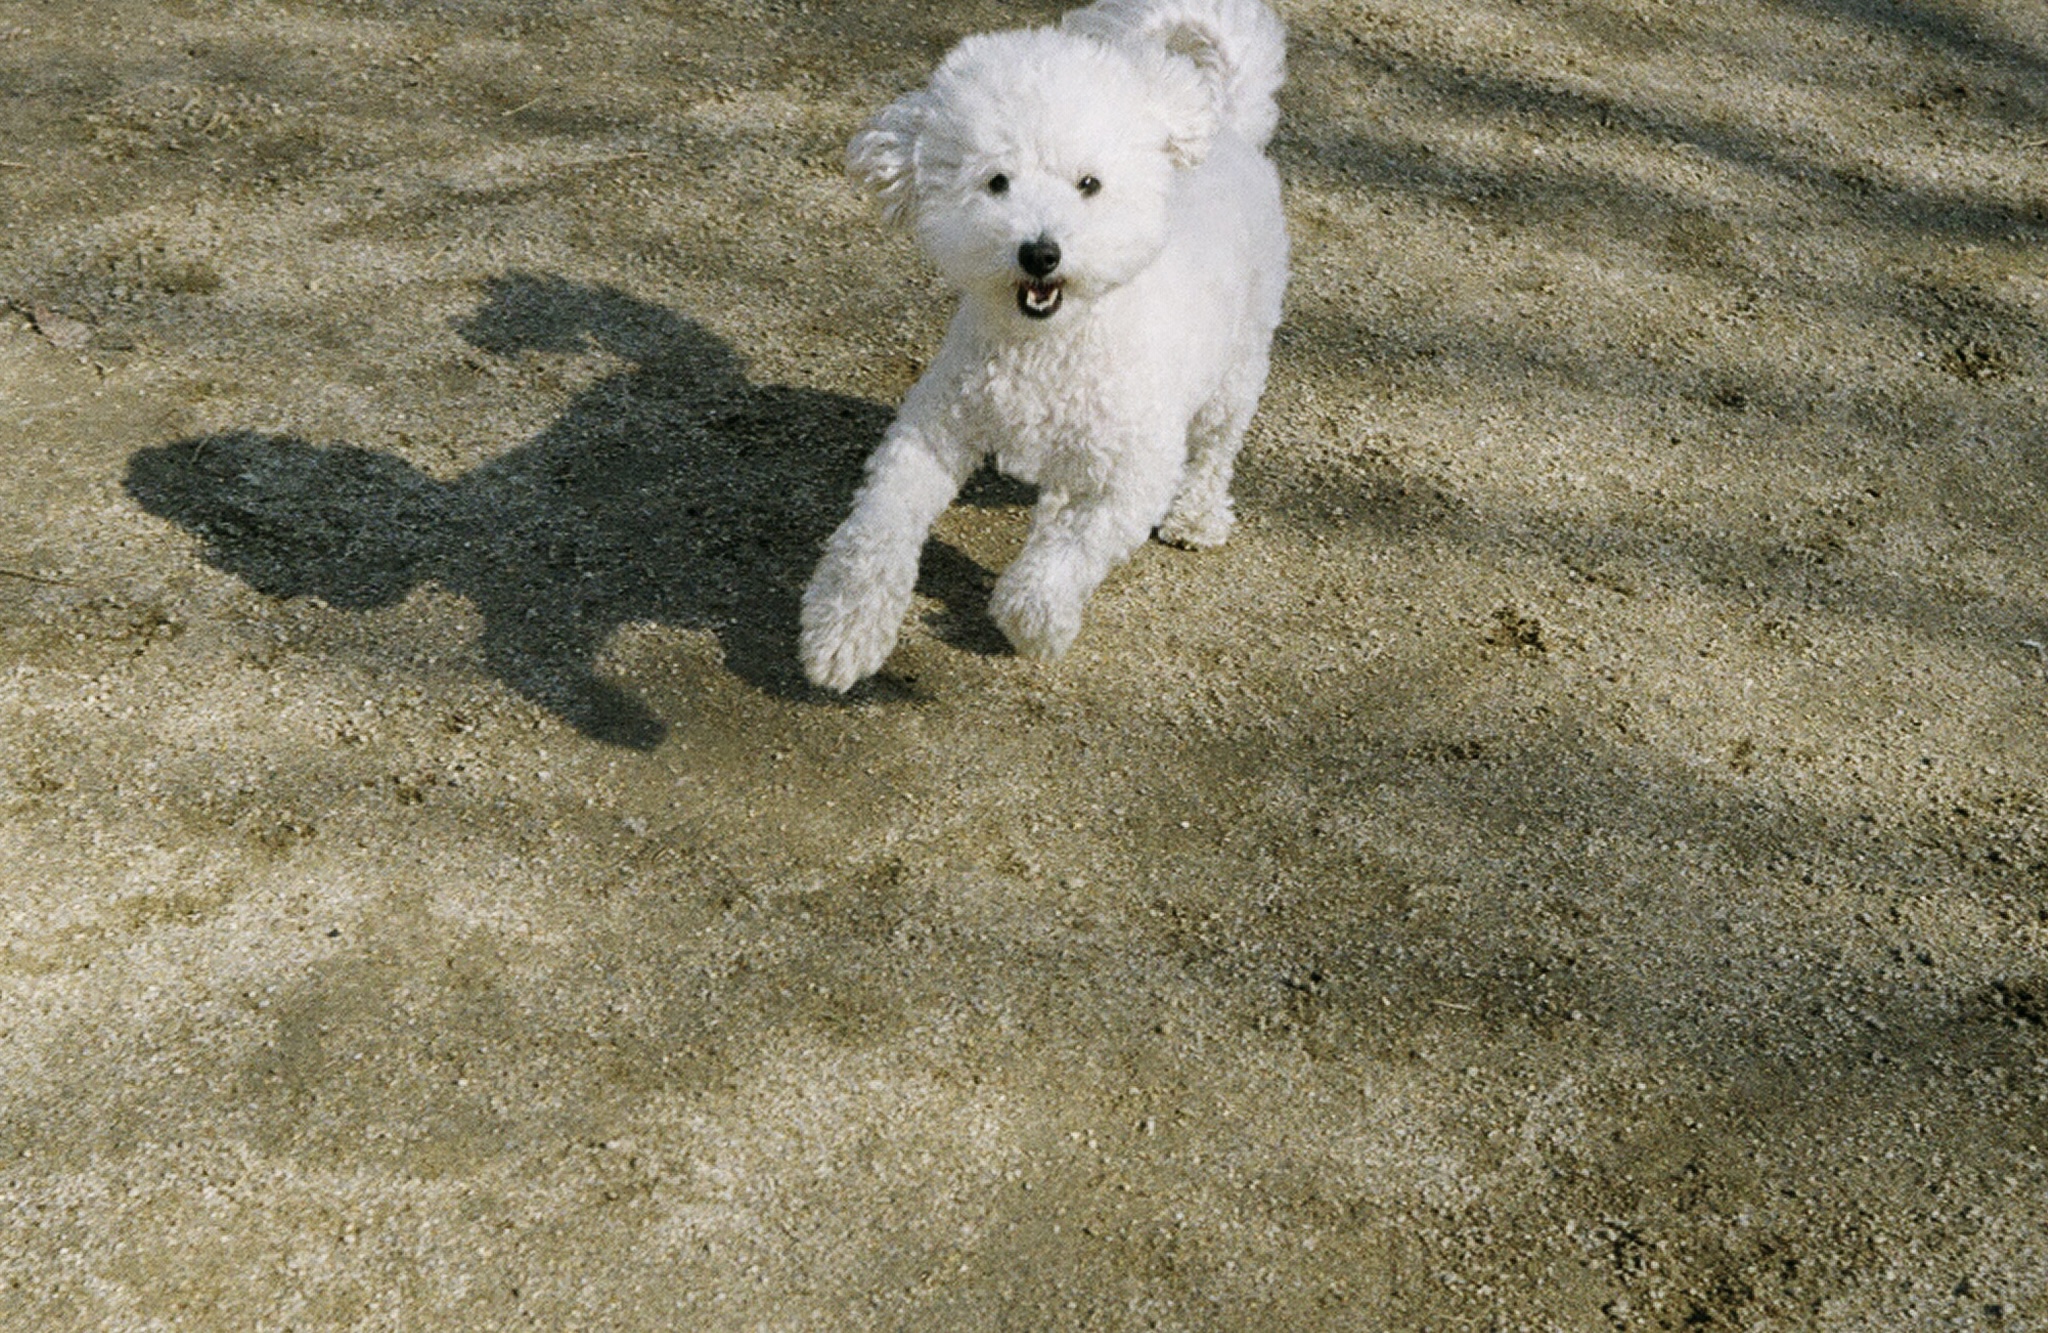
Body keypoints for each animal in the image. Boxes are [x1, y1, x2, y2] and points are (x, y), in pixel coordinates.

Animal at [794, 0, 1286, 688]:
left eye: (1089, 184)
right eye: (997, 181)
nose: (1041, 252)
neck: (1046, 347)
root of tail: (1229, 127)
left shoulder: (1135, 474)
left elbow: (1072, 553)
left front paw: (1036, 619)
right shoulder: (933, 432)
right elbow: (879, 525)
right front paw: (845, 630)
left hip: (1236, 365)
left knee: (1215, 448)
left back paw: (1197, 517)